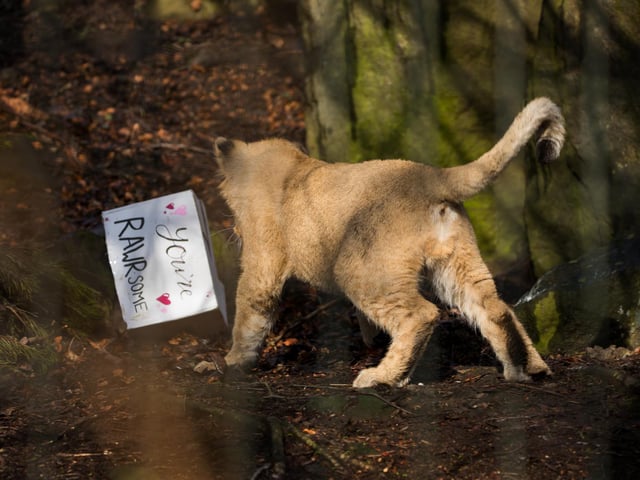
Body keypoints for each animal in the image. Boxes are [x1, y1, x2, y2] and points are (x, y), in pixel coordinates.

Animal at [214, 97, 564, 388]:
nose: (234, 230)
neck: (293, 165)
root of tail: (431, 175)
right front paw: (371, 339)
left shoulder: (263, 263)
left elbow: (249, 311)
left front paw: (231, 361)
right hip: (456, 264)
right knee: (496, 308)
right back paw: (528, 370)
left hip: (361, 270)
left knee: (421, 315)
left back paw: (382, 377)